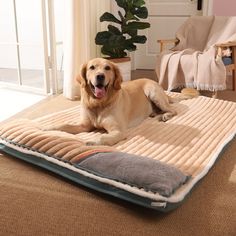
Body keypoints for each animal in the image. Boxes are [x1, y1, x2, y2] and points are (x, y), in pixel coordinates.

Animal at [49, 57, 183, 146]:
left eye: (107, 68)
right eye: (92, 67)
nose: (100, 76)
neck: (99, 104)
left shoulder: (118, 131)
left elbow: (102, 138)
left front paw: (90, 141)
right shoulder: (84, 125)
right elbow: (64, 125)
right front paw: (49, 129)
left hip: (153, 92)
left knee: (174, 110)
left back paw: (165, 115)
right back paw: (154, 113)